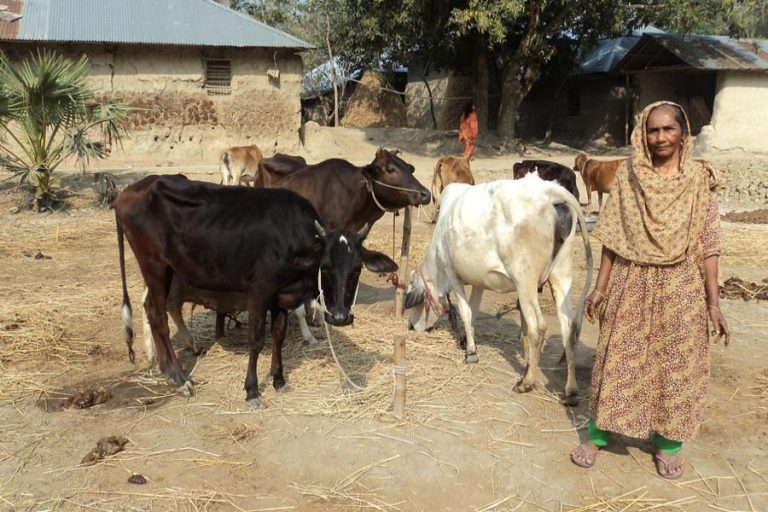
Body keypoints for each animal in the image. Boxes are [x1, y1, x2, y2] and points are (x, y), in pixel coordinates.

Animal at [117, 174, 400, 406]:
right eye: (326, 267)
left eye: (357, 269)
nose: (340, 317)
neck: (291, 240)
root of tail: (129, 191)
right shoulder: (259, 292)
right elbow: (257, 340)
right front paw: (252, 390)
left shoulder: (281, 297)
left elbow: (278, 336)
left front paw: (279, 380)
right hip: (154, 265)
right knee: (157, 315)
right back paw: (178, 378)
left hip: (168, 270)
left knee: (156, 309)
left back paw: (169, 367)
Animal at [402, 174, 592, 406]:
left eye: (416, 301)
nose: (411, 326)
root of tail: (551, 191)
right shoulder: (478, 281)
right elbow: (473, 311)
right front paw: (467, 341)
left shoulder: (452, 273)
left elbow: (465, 312)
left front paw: (471, 353)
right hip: (561, 275)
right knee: (569, 329)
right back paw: (571, 391)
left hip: (525, 281)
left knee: (538, 327)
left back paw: (526, 382)